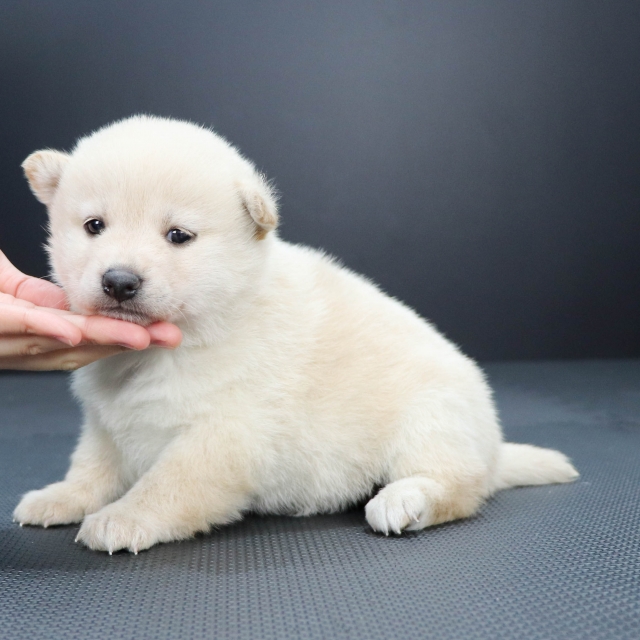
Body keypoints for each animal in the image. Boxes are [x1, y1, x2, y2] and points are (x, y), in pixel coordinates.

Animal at [14, 116, 578, 553]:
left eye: (178, 236)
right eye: (94, 225)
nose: (119, 281)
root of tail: (494, 450)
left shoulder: (224, 434)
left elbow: (169, 485)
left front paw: (123, 518)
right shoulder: (105, 423)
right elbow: (91, 468)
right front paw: (60, 497)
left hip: (432, 419)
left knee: (456, 487)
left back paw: (403, 500)